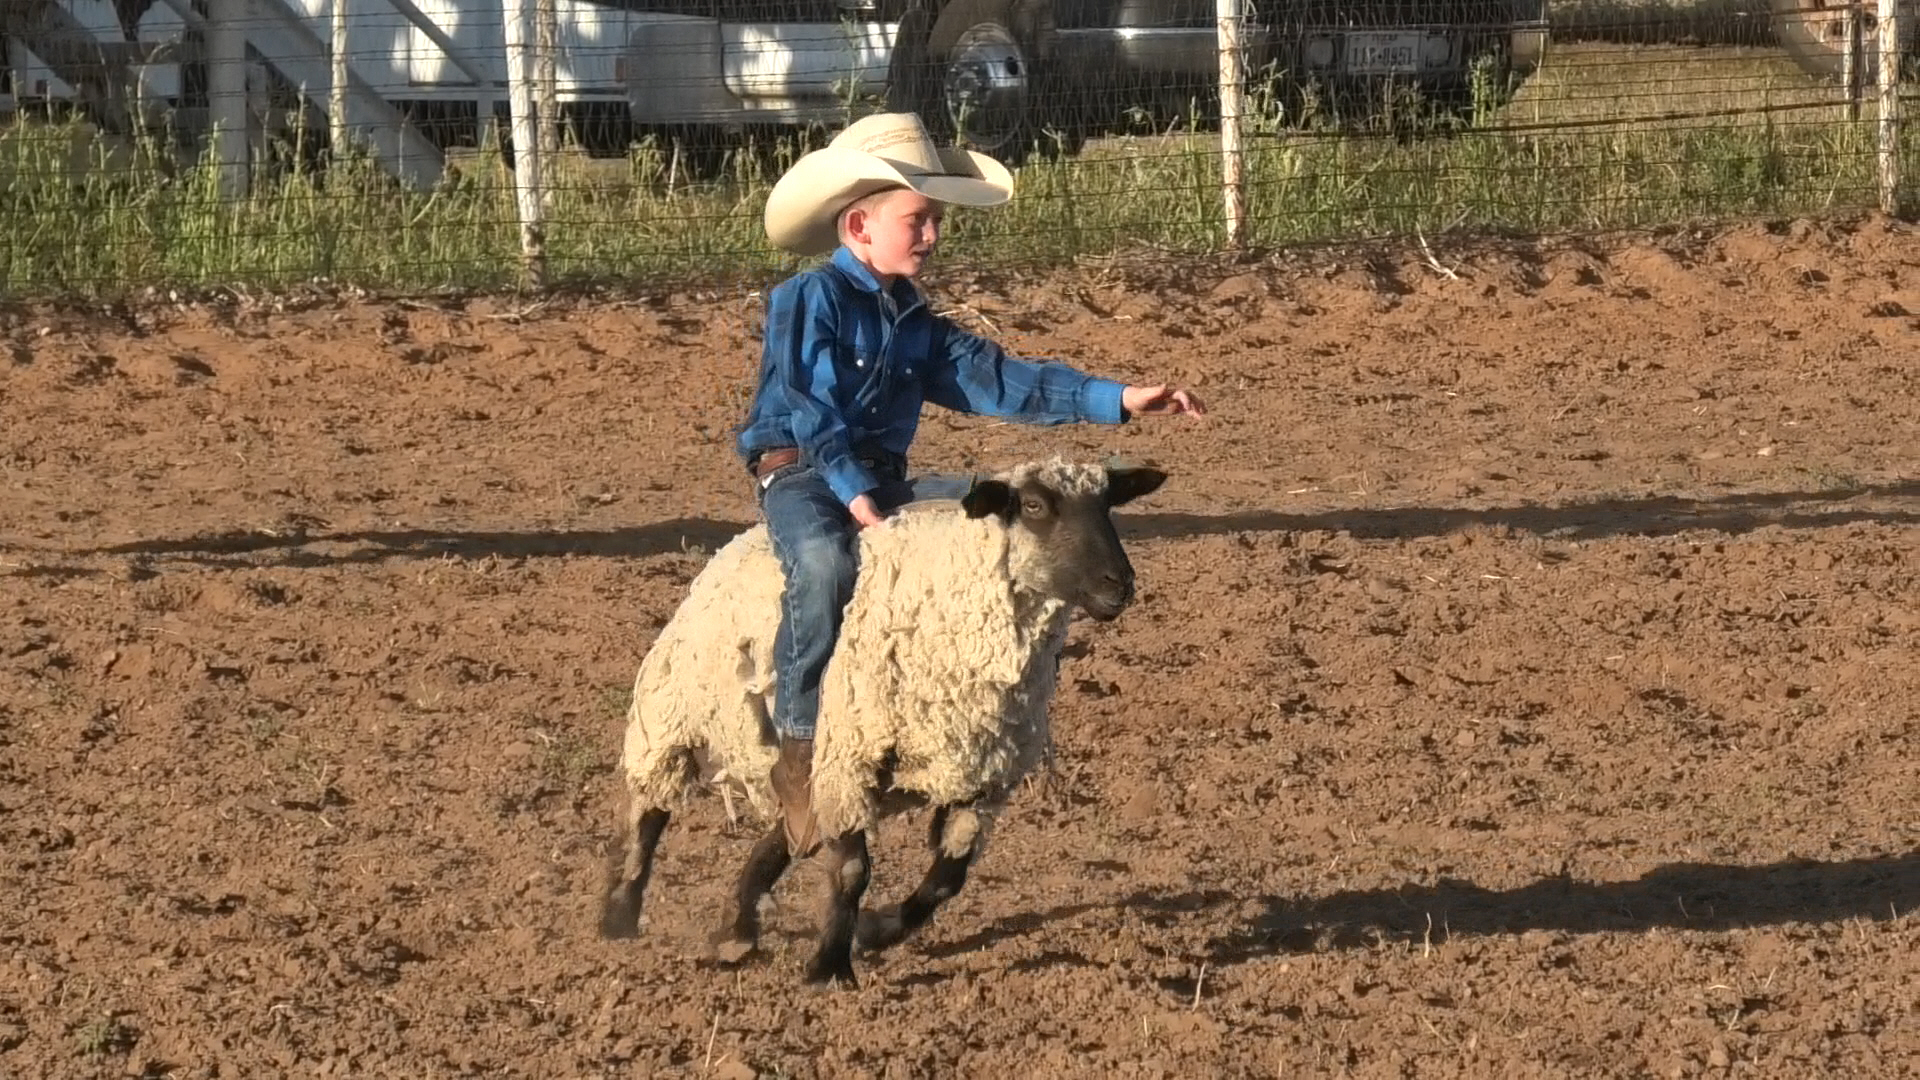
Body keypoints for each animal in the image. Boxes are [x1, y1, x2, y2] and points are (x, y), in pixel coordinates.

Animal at [599, 453, 1167, 983]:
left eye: (1109, 504)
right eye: (1033, 506)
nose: (1120, 584)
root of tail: (733, 546)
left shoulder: (985, 774)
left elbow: (949, 876)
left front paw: (877, 930)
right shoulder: (851, 756)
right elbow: (852, 871)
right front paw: (829, 969)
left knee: (790, 829)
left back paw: (739, 928)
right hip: (673, 714)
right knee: (649, 810)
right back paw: (620, 912)